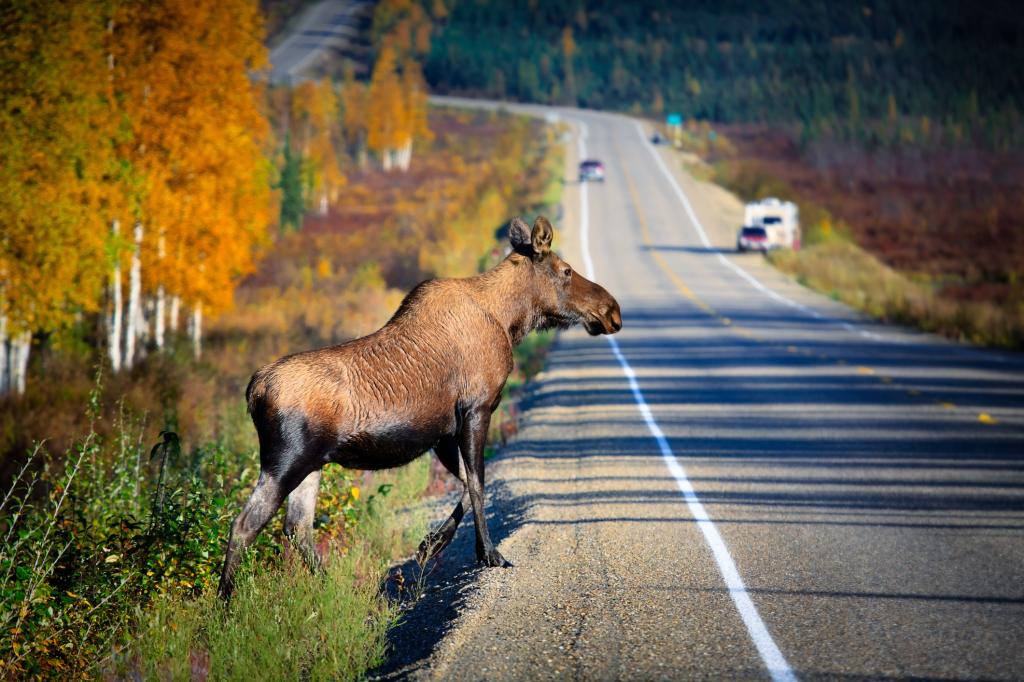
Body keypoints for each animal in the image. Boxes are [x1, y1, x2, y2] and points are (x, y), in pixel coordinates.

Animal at [218, 215, 621, 599]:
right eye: (565, 270)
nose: (612, 311)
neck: (509, 321)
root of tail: (254, 390)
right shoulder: (476, 409)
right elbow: (478, 482)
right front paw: (489, 553)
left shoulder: (443, 432)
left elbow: (467, 483)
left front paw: (431, 544)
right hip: (285, 461)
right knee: (244, 525)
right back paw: (225, 603)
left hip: (312, 464)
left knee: (297, 528)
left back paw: (329, 587)